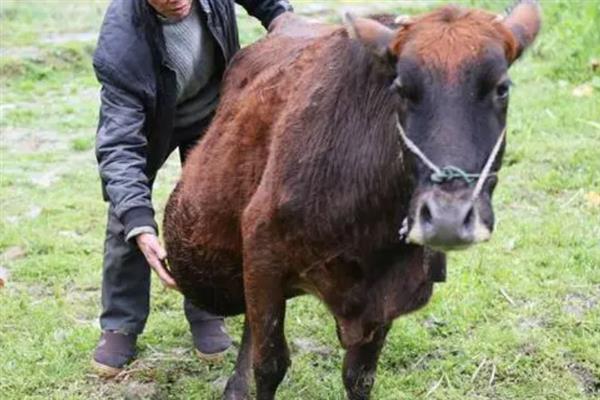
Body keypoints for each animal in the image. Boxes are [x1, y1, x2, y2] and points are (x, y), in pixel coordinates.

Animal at [162, 1, 540, 398]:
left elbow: (359, 376)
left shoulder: (389, 296)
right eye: (401, 88)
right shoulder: (263, 257)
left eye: (502, 88)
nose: (448, 217)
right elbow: (269, 365)